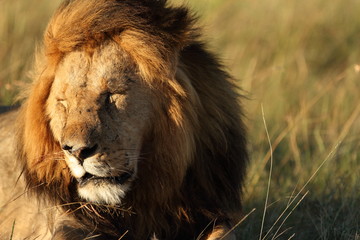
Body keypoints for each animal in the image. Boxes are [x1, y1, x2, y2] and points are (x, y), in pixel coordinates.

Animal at [0, 0, 248, 240]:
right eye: (63, 102)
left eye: (112, 95)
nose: (76, 151)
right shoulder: (60, 222)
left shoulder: (208, 212)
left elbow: (226, 234)